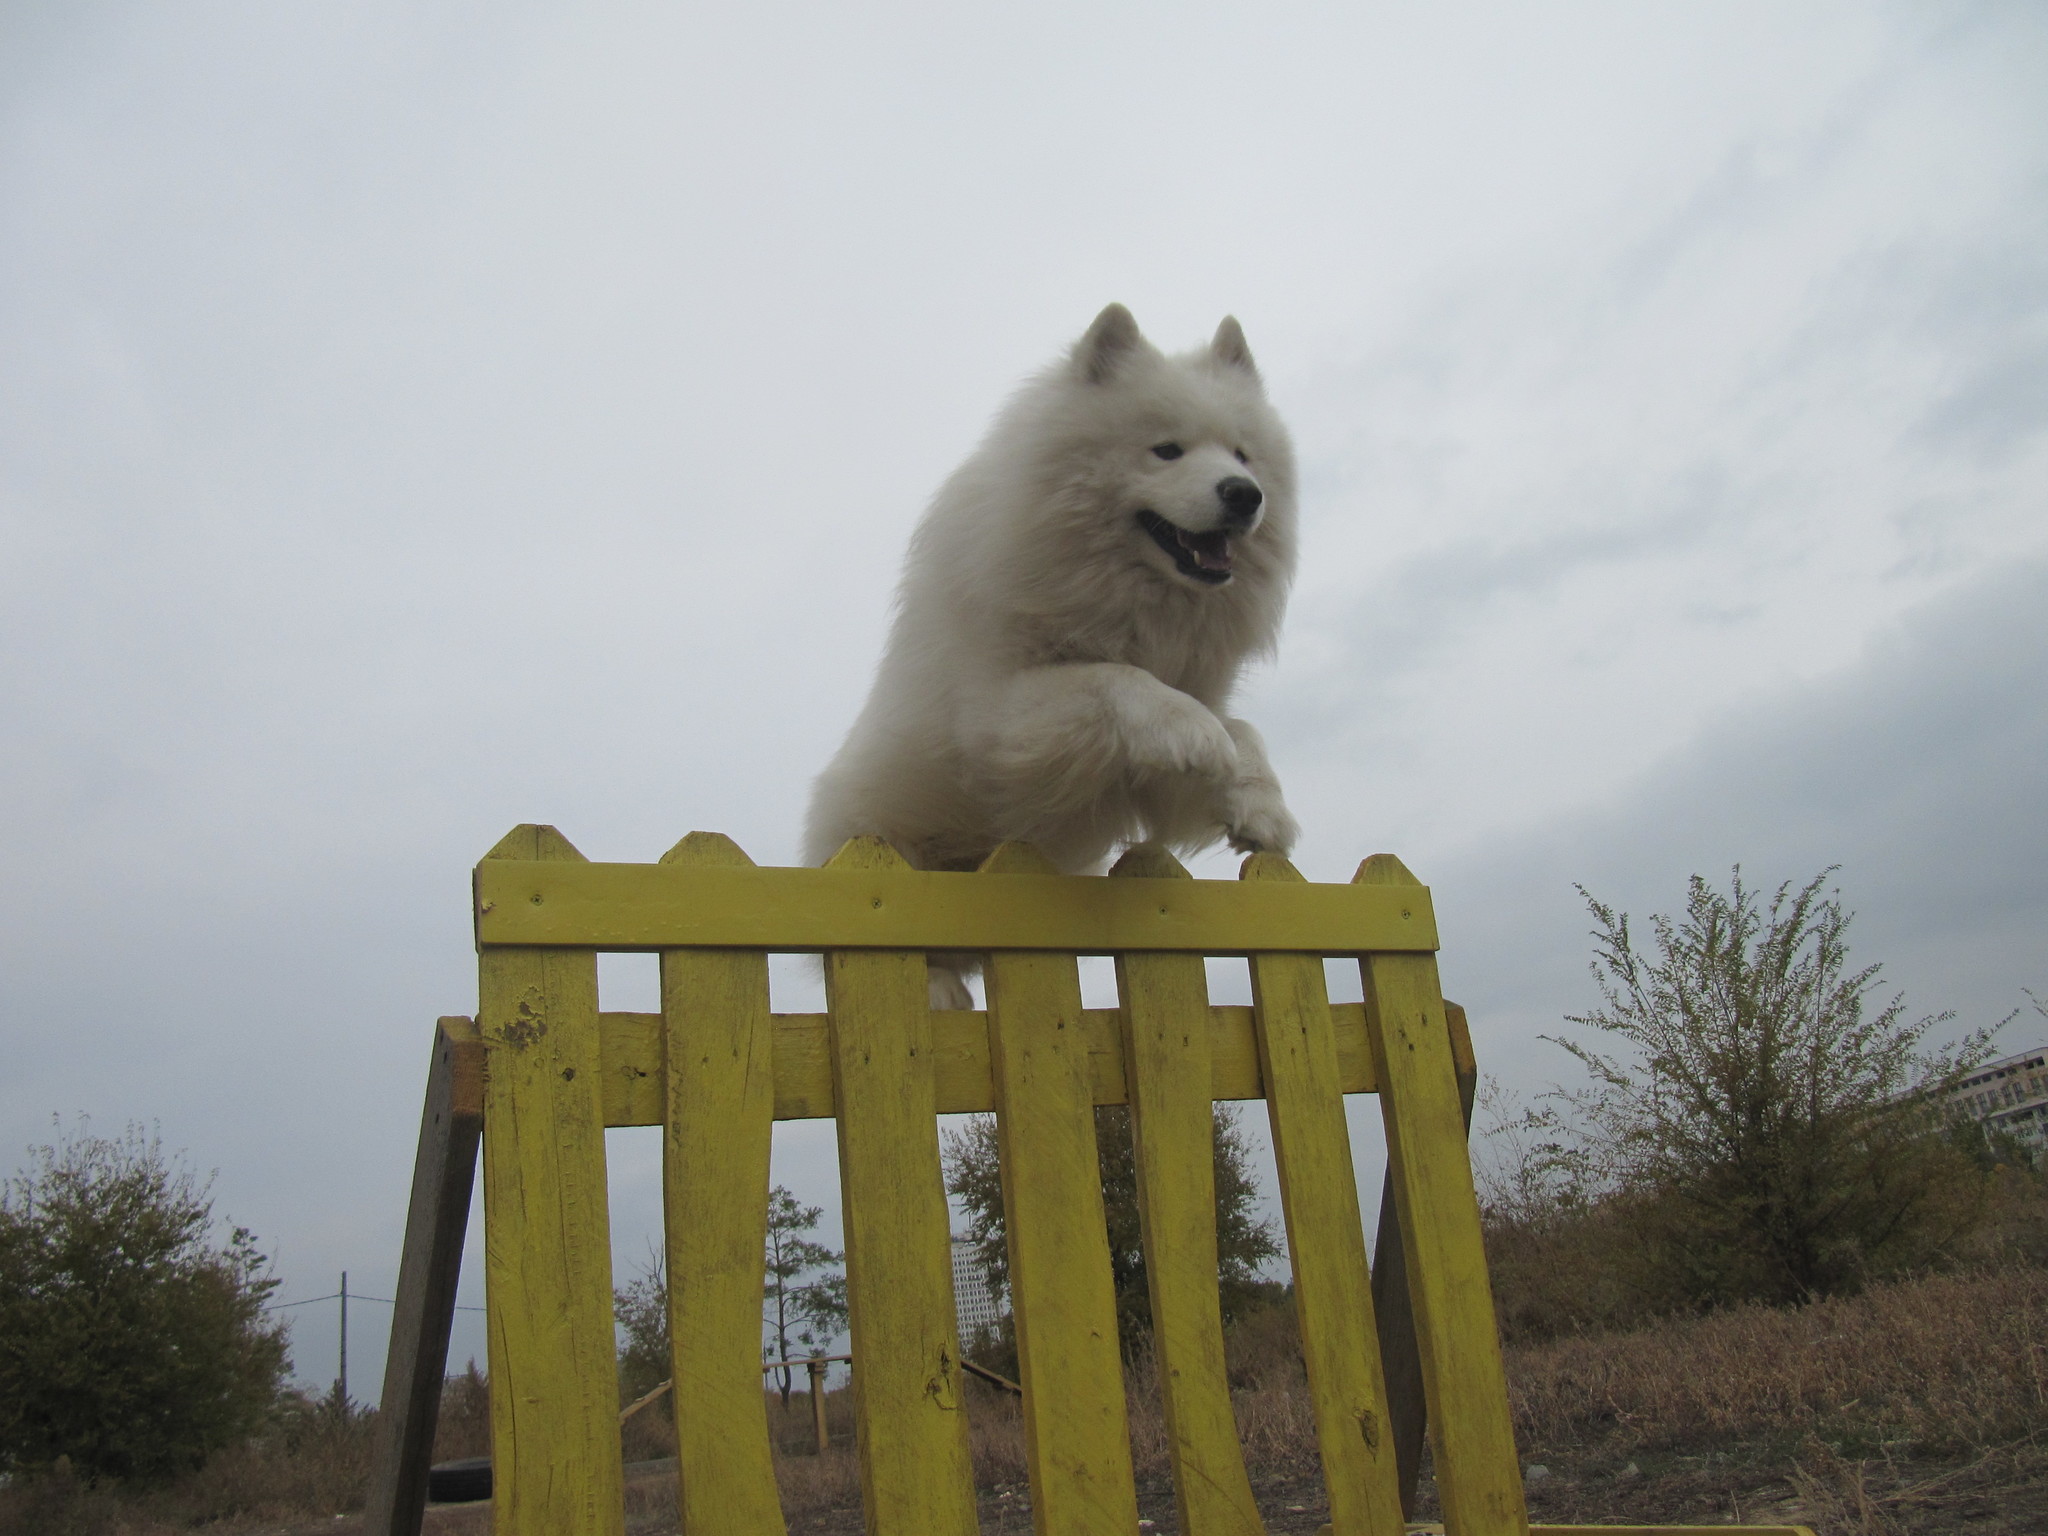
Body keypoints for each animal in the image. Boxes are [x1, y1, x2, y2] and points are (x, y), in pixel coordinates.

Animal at [798, 305, 1294, 1011]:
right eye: (1166, 450)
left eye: (1242, 455)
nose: (1244, 493)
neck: (1128, 602)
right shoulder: (994, 718)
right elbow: (1117, 678)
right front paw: (1188, 727)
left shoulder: (1156, 762)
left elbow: (1240, 729)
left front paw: (1261, 805)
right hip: (874, 843)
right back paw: (939, 991)